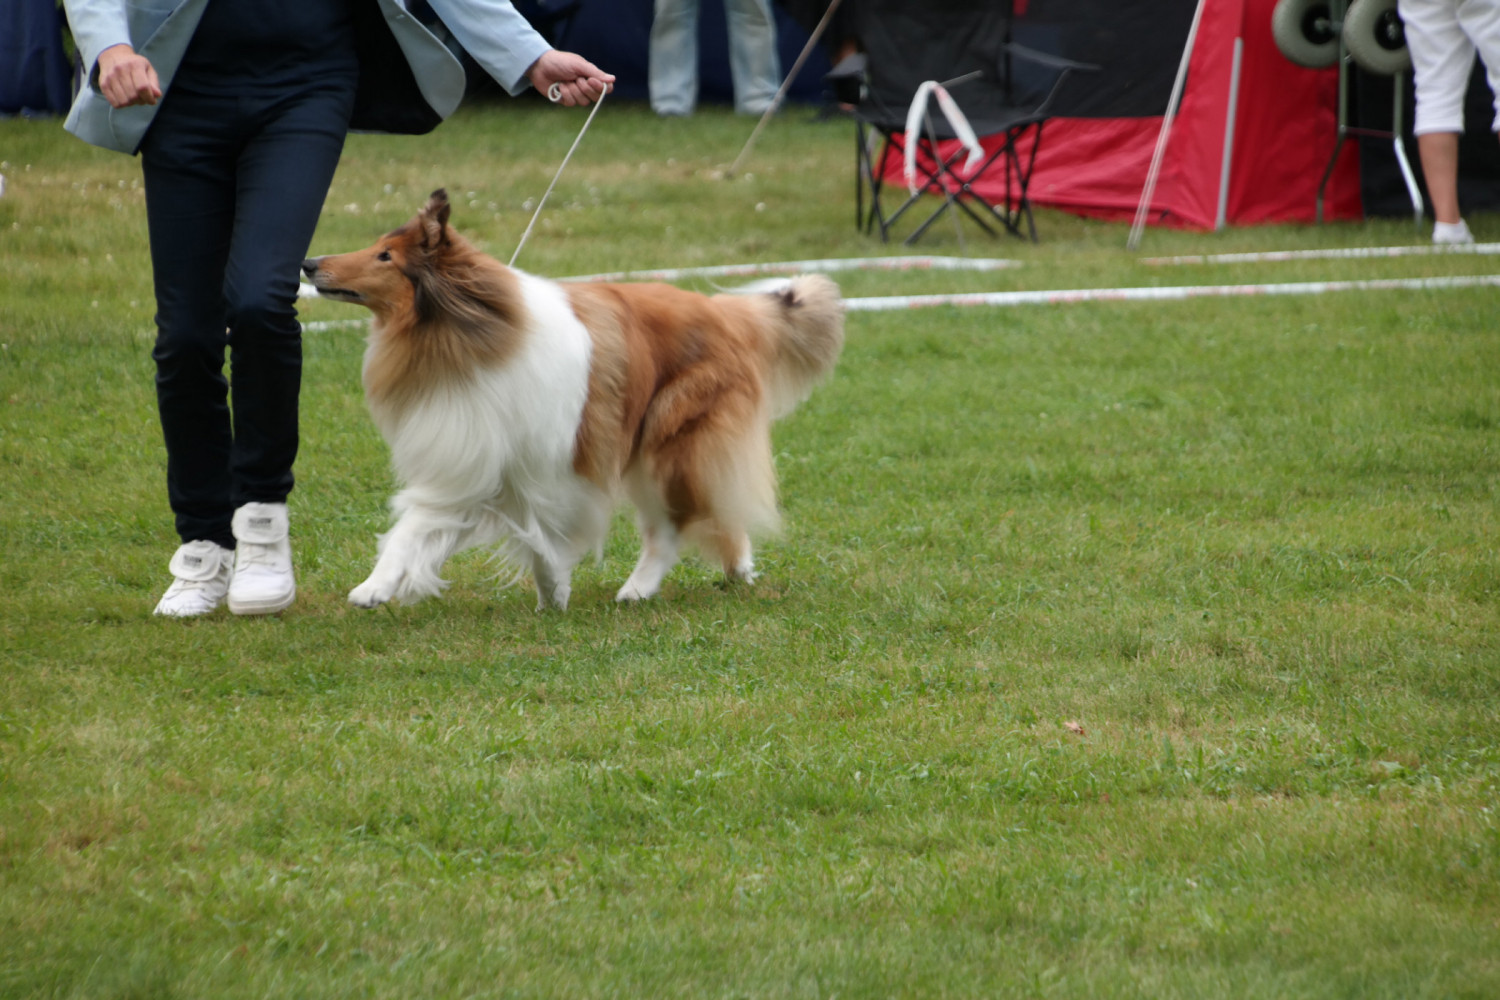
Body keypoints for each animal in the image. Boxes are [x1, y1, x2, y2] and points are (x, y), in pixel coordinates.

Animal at [301, 189, 844, 610]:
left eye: (386, 257)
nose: (309, 263)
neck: (467, 336)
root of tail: (724, 312)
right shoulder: (477, 460)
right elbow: (421, 526)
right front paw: (377, 585)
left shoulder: (552, 469)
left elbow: (538, 538)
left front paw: (553, 588)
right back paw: (738, 571)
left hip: (667, 445)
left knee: (670, 527)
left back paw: (639, 589)